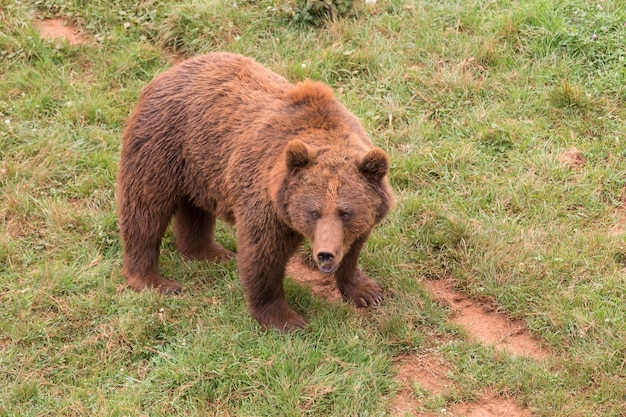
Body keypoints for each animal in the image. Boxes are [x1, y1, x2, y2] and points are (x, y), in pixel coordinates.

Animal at [116, 52, 390, 332]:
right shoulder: (266, 200)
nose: (325, 254)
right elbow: (262, 256)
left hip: (201, 166)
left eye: (345, 212)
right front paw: (285, 319)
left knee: (195, 209)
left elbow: (353, 250)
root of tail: (168, 72)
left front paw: (366, 291)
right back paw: (154, 280)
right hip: (160, 146)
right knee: (145, 212)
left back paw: (211, 253)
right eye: (314, 212)